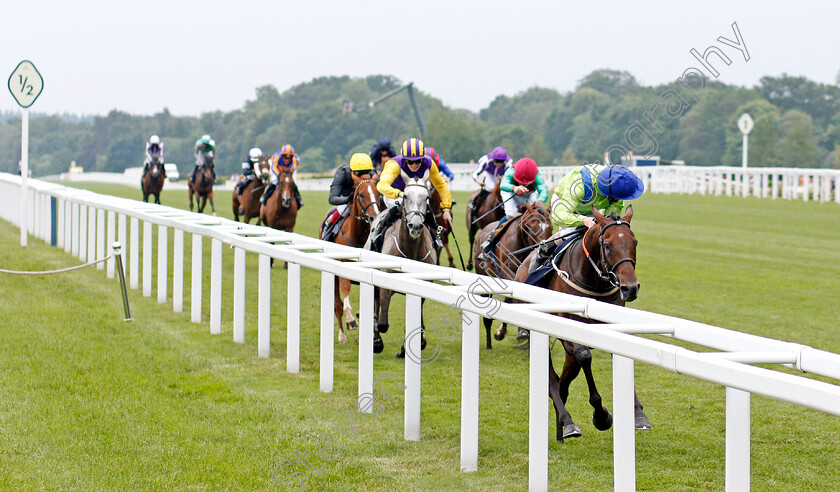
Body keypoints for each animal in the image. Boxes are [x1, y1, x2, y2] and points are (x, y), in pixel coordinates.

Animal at [320, 173, 382, 346]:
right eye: (360, 194)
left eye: (378, 193)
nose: (374, 216)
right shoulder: (343, 269)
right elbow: (345, 293)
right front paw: (351, 320)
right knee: (337, 305)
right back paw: (342, 335)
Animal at [376, 177, 440, 358]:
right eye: (405, 196)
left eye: (426, 197)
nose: (415, 226)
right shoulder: (385, 280)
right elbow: (382, 322)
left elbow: (418, 321)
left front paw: (410, 346)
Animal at [512, 206, 648, 440]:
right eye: (607, 245)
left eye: (635, 242)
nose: (630, 288)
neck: (594, 280)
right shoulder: (568, 328)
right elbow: (584, 356)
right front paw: (601, 415)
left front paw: (639, 414)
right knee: (553, 380)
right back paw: (568, 423)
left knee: (564, 379)